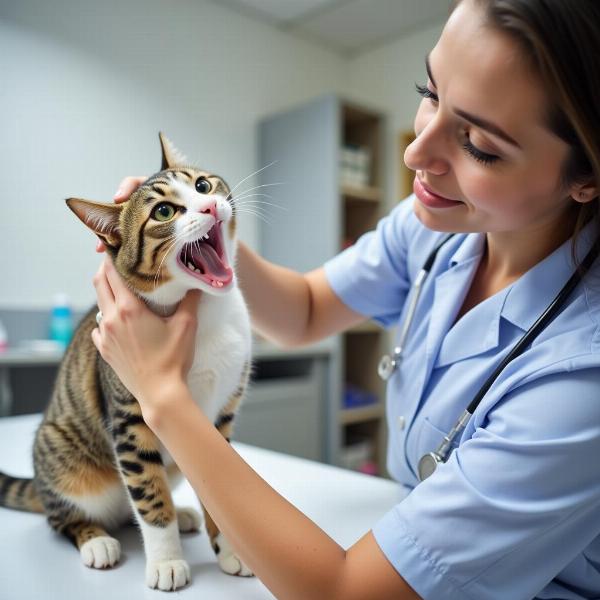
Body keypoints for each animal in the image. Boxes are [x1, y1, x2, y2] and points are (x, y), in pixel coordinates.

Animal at [0, 132, 253, 592]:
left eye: (202, 186)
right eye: (164, 211)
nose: (209, 208)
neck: (207, 311)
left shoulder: (221, 415)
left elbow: (219, 484)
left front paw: (228, 547)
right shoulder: (131, 419)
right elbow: (149, 495)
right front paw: (167, 561)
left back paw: (182, 514)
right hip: (62, 456)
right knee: (65, 517)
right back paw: (96, 540)